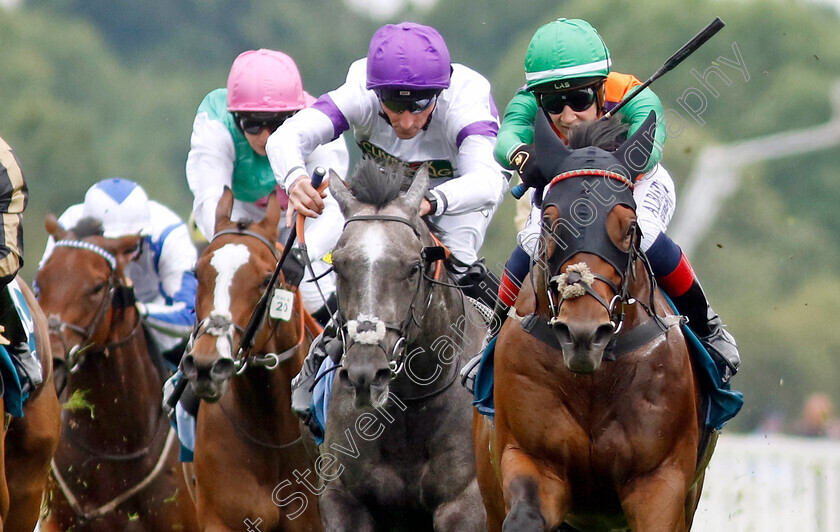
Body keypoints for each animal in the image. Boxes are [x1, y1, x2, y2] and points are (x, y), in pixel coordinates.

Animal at [316, 160, 486, 528]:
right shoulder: (342, 499)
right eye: (338, 266)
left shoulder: (465, 504)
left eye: (413, 267)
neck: (409, 409)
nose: (365, 374)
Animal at [476, 113, 712, 532]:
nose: (583, 333)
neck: (593, 380)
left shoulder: (660, 480)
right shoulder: (530, 456)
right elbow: (525, 515)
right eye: (550, 223)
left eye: (629, 227)